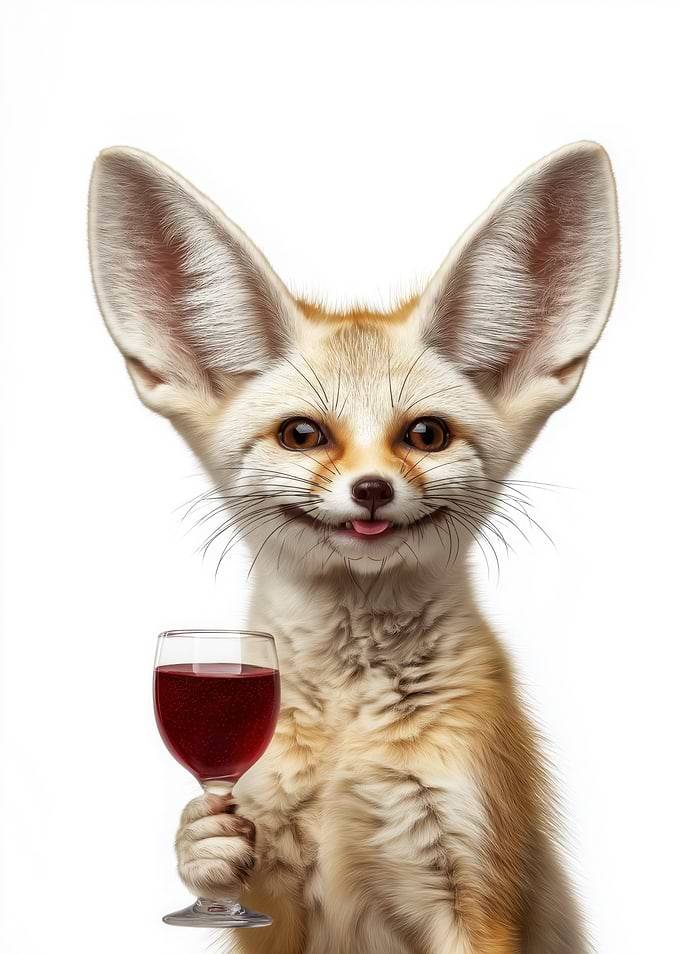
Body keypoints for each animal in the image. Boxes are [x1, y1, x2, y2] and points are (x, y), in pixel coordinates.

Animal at [88, 140, 619, 954]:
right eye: (302, 434)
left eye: (425, 434)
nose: (371, 489)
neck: (346, 743)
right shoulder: (275, 902)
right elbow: (228, 864)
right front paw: (199, 846)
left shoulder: (475, 883)